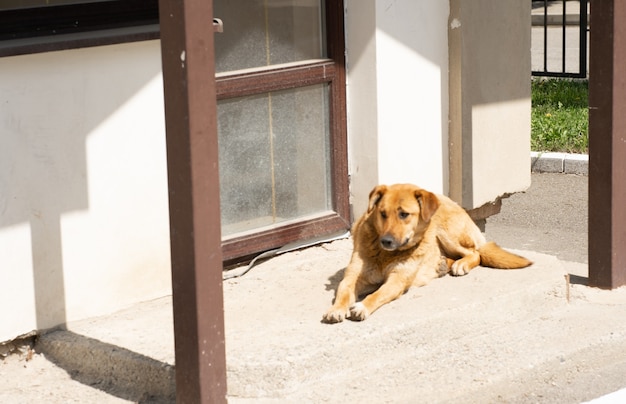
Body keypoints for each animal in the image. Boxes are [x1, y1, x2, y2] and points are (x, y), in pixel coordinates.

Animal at [322, 185, 532, 324]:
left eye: (404, 214)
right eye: (382, 214)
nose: (386, 241)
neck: (385, 255)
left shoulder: (396, 281)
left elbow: (377, 294)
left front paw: (362, 306)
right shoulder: (352, 277)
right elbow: (343, 292)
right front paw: (336, 309)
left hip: (445, 232)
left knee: (475, 253)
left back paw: (460, 264)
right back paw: (442, 264)